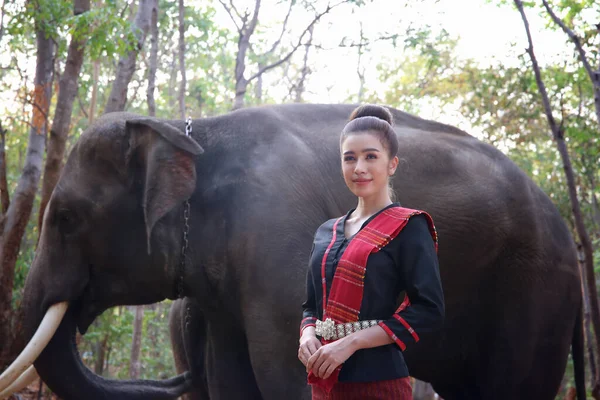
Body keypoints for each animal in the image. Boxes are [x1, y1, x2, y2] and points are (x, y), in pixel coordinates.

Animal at [0, 104, 580, 400]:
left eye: (67, 218)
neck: (190, 128)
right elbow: (233, 376)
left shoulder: (278, 239)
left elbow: (286, 370)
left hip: (536, 292)